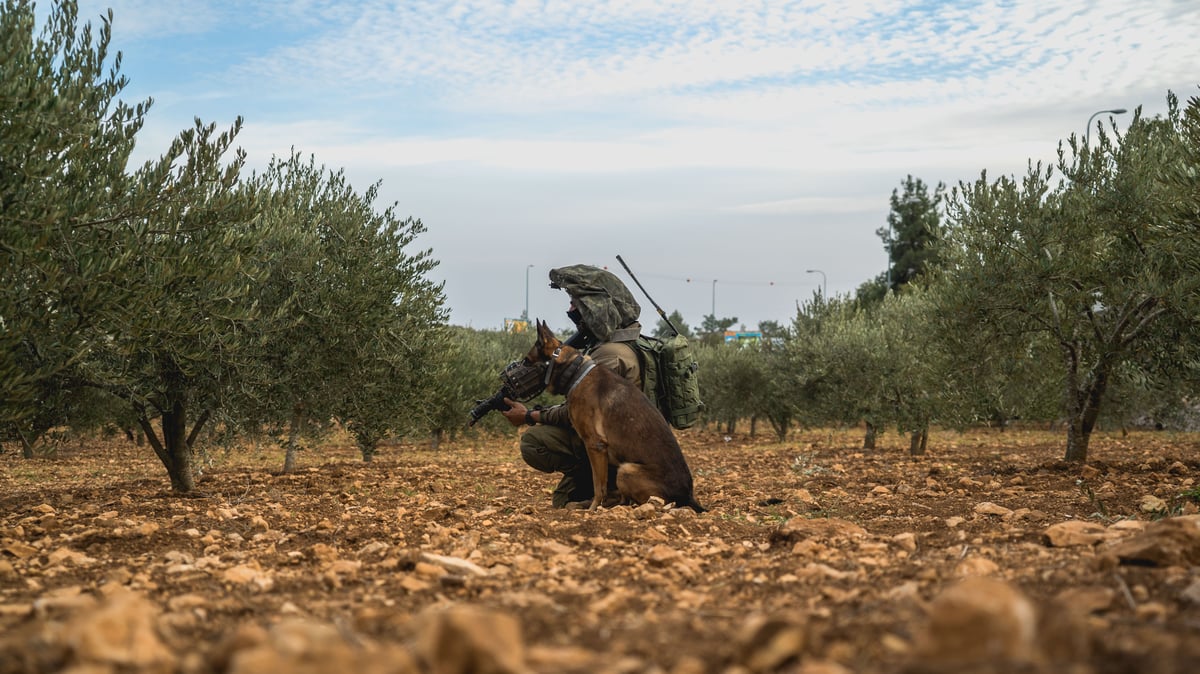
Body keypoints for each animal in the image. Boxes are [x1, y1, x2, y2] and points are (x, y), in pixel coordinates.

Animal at [525, 319, 700, 508]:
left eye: (526, 361)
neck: (575, 370)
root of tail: (688, 495)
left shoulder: (595, 445)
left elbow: (598, 486)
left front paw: (593, 509)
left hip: (626, 470)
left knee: (643, 501)